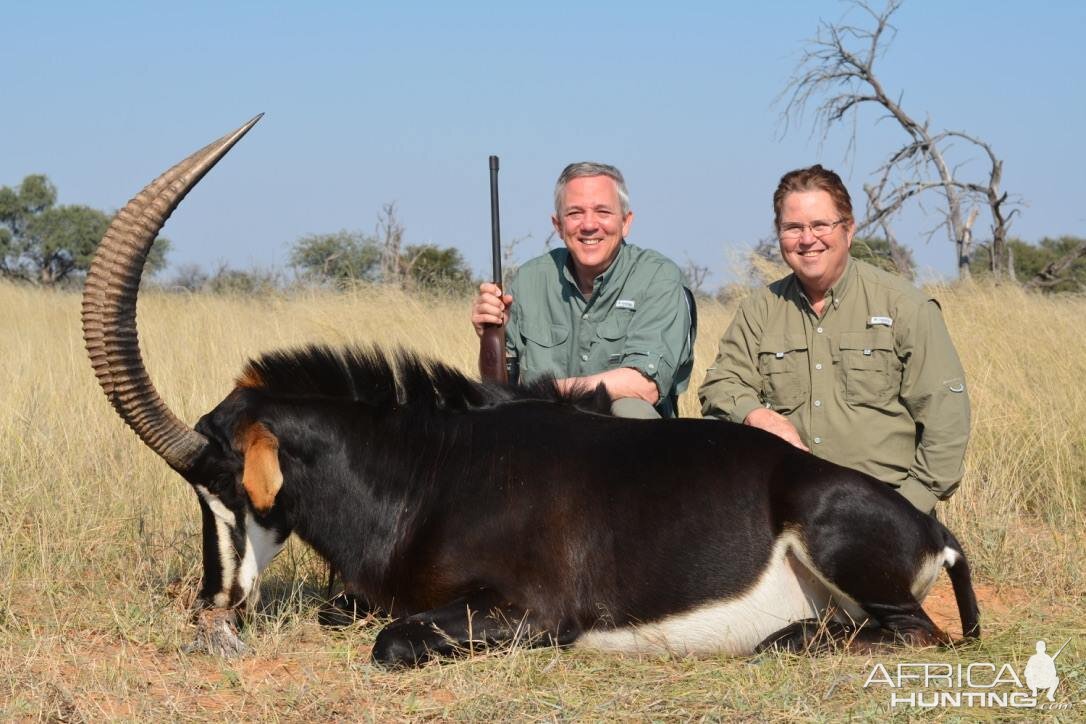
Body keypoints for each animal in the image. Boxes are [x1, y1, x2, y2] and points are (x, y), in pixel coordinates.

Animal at [80, 117, 981, 668]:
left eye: (227, 482)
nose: (211, 610)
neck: (427, 472)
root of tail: (931, 528)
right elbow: (350, 613)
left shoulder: (528, 614)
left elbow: (390, 641)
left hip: (838, 548)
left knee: (912, 633)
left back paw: (788, 636)